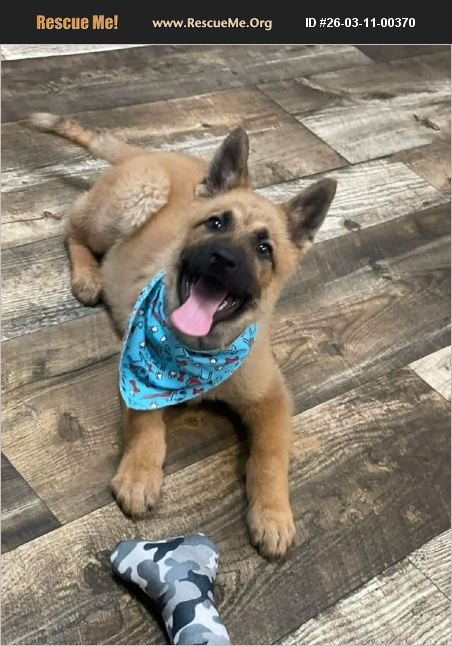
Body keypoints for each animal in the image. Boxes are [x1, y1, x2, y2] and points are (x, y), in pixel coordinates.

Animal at [29, 112, 336, 558]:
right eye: (216, 223)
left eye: (264, 249)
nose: (223, 259)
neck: (199, 353)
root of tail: (147, 153)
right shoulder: (137, 371)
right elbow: (145, 425)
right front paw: (140, 473)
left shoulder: (272, 398)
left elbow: (270, 457)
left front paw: (274, 513)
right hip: (130, 201)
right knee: (72, 229)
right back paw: (88, 275)